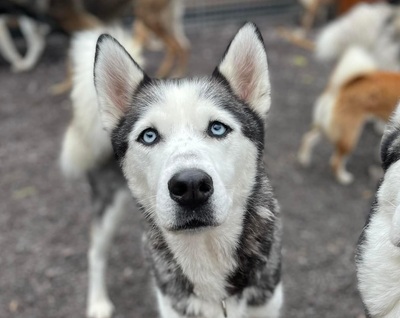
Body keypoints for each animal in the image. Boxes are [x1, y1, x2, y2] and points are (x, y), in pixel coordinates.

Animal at [61, 22, 282, 318]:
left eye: (217, 128)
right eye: (149, 136)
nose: (190, 186)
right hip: (108, 204)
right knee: (95, 252)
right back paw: (97, 302)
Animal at [298, 47, 400, 186]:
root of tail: (343, 86)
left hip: (327, 128)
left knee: (308, 138)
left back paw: (304, 159)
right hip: (350, 137)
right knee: (335, 162)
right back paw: (343, 178)